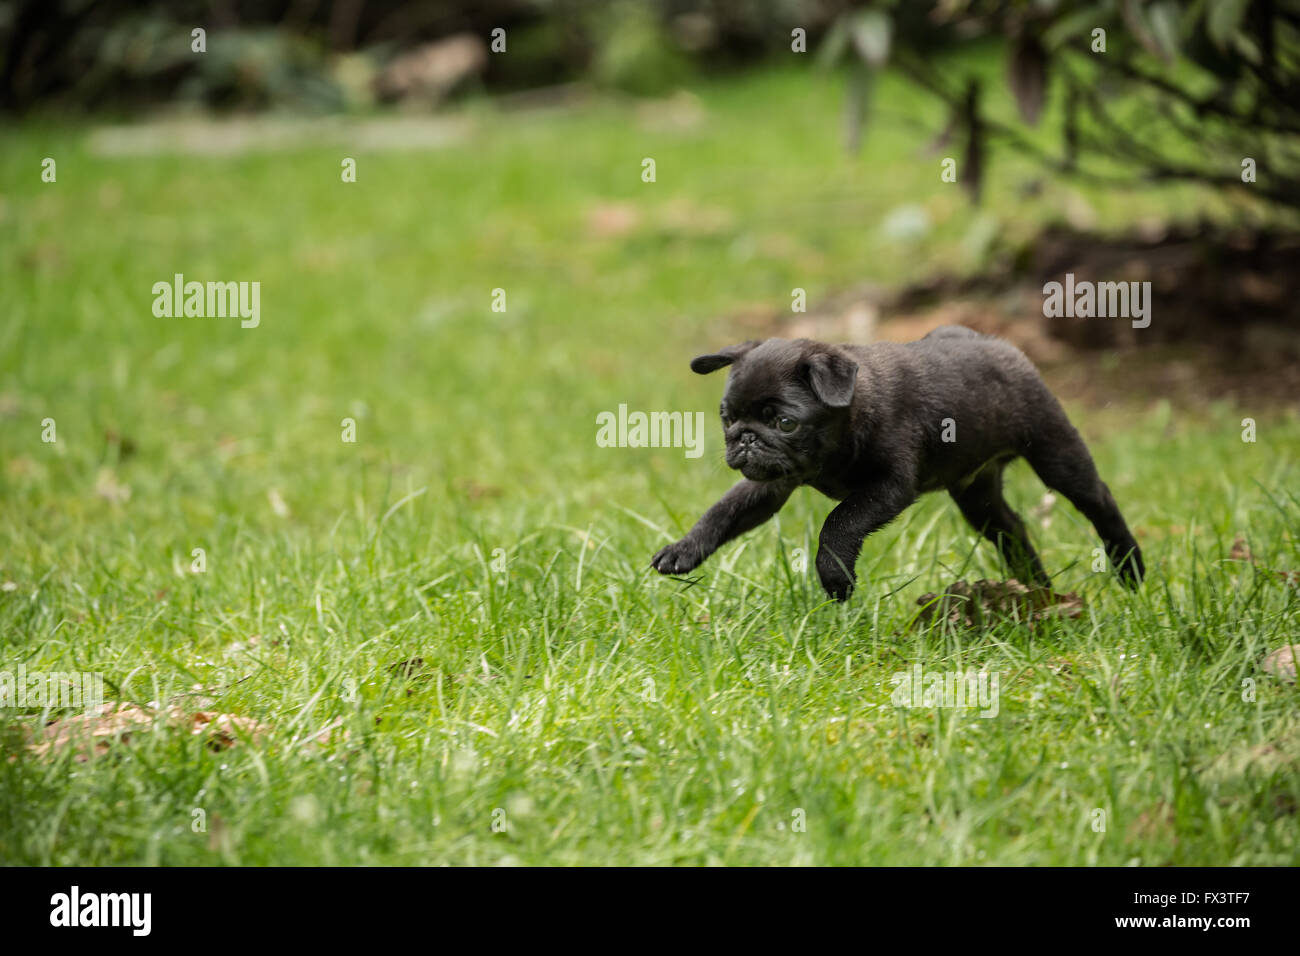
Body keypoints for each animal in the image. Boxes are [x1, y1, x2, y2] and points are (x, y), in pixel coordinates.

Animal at [647, 329, 1138, 598]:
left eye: (785, 422)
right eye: (727, 417)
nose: (745, 439)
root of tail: (995, 343)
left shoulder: (889, 486)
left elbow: (839, 522)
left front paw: (835, 578)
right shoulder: (769, 483)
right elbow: (723, 512)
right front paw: (683, 549)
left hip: (1055, 450)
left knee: (1098, 499)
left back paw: (1130, 568)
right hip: (976, 494)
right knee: (1010, 528)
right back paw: (1036, 588)